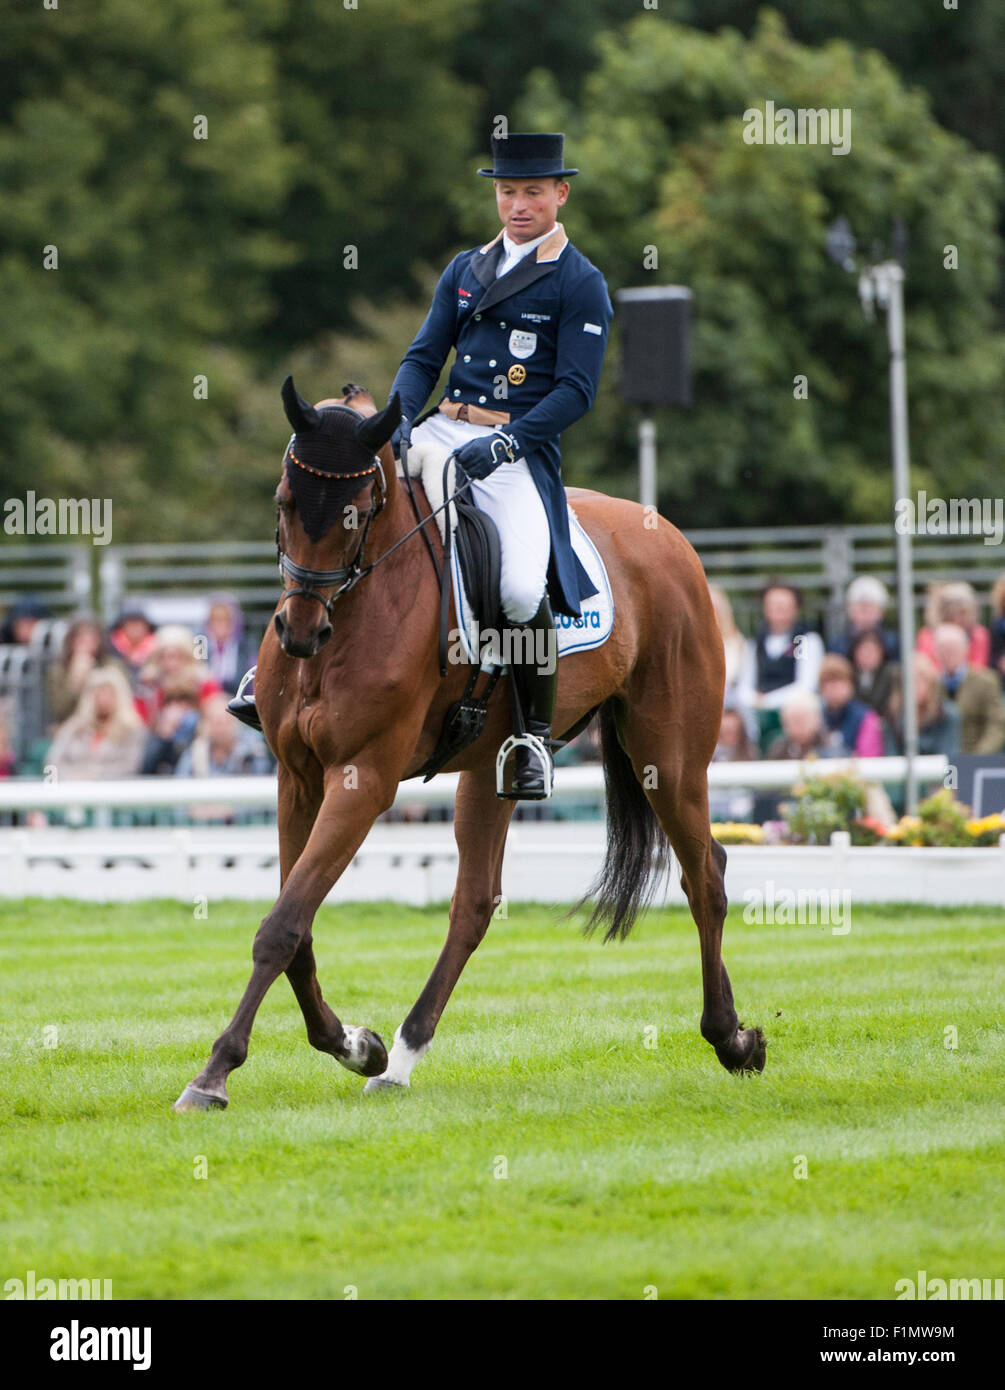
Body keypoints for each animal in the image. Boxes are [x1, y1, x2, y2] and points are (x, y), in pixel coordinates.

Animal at [173, 383, 767, 1117]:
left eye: (358, 512)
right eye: (283, 501)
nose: (300, 632)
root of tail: (668, 537)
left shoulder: (362, 779)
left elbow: (282, 926)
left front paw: (215, 1073)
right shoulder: (299, 777)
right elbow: (299, 928)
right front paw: (354, 1044)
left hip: (671, 757)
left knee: (704, 875)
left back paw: (731, 1039)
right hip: (491, 769)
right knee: (475, 903)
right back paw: (399, 1058)